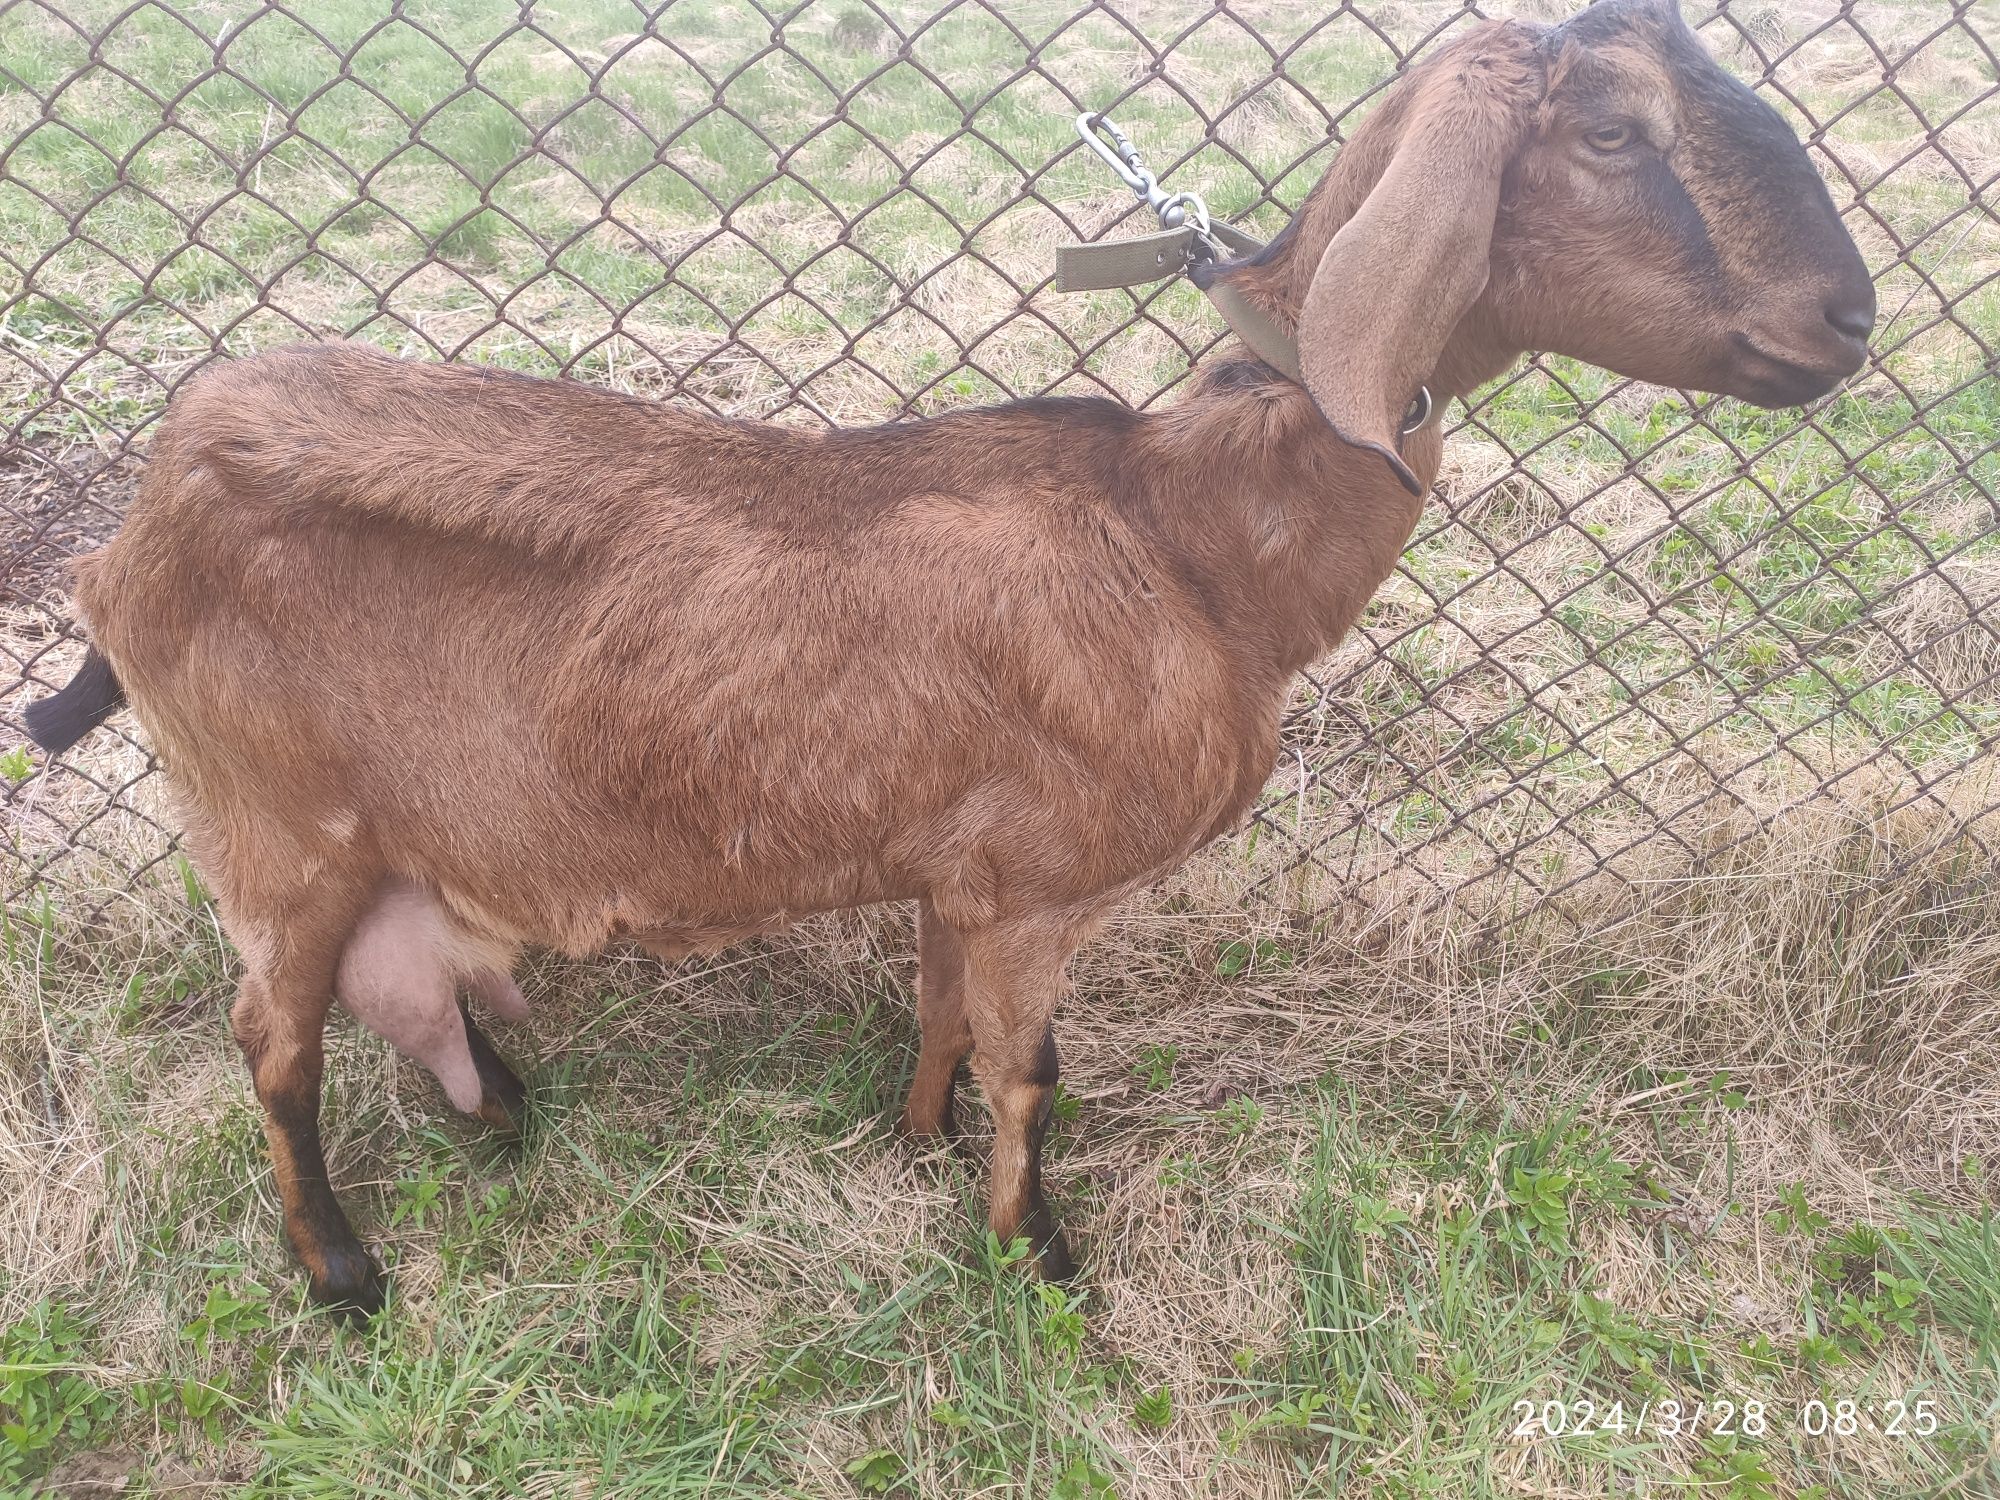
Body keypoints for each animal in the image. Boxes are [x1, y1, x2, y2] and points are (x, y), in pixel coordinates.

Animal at [31, 0, 1872, 1312]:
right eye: (1617, 129)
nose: (1848, 322)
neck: (1192, 537)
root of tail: (130, 527)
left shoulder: (960, 869)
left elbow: (941, 1021)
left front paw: (911, 1150)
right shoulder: (1044, 879)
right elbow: (1034, 1071)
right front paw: (1040, 1265)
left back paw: (501, 1111)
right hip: (275, 827)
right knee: (271, 1043)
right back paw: (343, 1274)